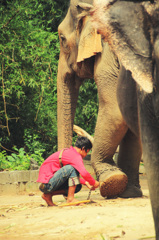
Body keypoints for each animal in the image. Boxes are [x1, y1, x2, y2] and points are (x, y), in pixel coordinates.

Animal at [56, 0, 143, 199]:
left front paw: (112, 181)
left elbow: (115, 110)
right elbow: (130, 112)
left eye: (62, 38)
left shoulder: (110, 52)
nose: (65, 192)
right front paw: (128, 192)